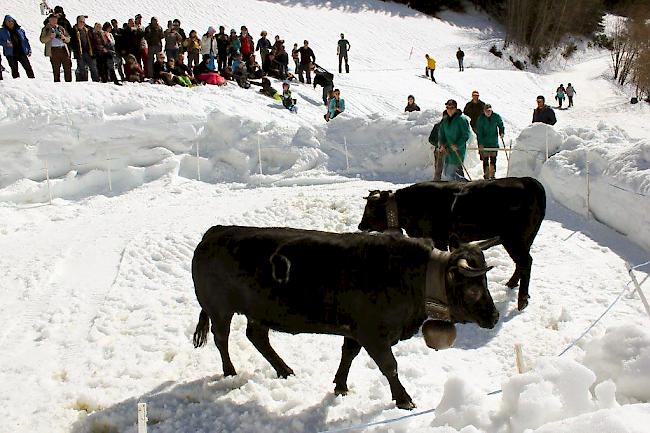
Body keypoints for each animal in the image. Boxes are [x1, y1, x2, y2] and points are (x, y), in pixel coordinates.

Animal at [191, 224, 496, 410]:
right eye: (473, 288)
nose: (493, 317)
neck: (414, 277)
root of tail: (214, 232)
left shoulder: (356, 331)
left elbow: (348, 354)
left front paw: (340, 385)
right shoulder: (373, 334)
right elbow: (390, 366)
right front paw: (403, 399)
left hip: (258, 312)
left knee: (257, 337)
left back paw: (284, 369)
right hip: (219, 309)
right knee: (222, 338)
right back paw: (230, 372)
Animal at [356, 176, 544, 310]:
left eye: (370, 210)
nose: (360, 225)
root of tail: (527, 181)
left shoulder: (438, 239)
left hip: (513, 238)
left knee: (526, 261)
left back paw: (522, 300)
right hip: (525, 238)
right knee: (522, 263)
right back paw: (511, 284)